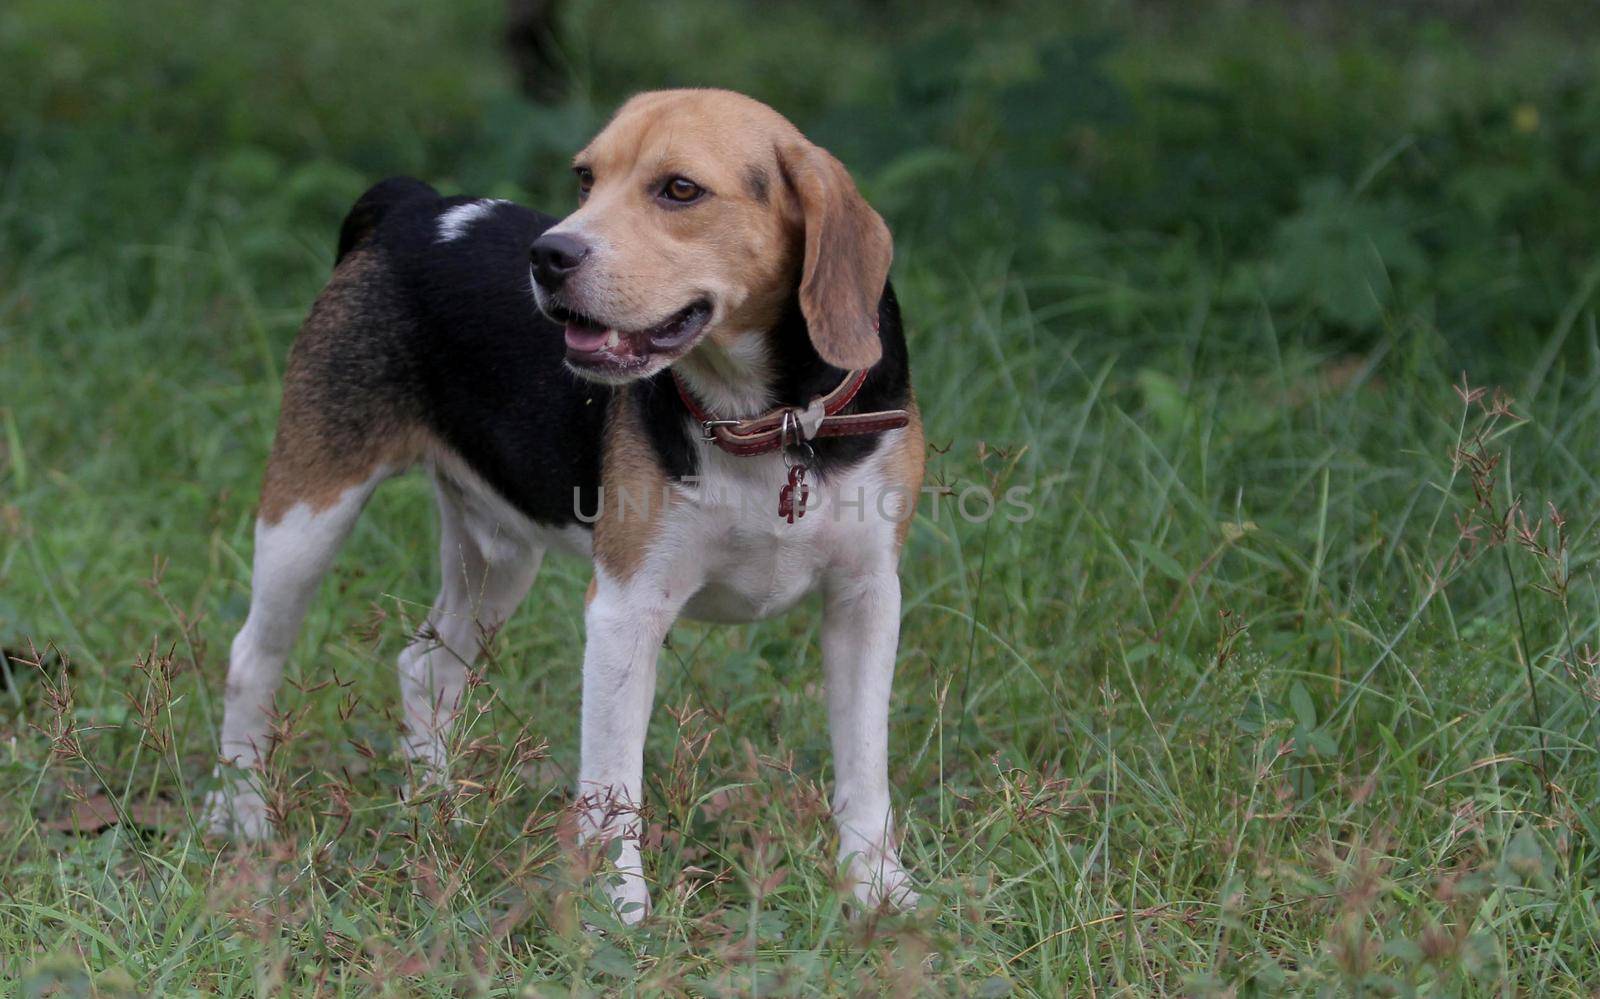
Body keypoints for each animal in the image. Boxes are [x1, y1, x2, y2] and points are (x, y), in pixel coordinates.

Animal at [209, 87, 928, 922]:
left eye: (679, 189)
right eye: (586, 178)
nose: (548, 255)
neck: (771, 421)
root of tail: (416, 206)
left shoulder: (866, 599)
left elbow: (865, 766)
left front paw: (877, 889)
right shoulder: (625, 609)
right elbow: (613, 787)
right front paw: (619, 916)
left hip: (496, 554)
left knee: (425, 666)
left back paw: (438, 814)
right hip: (308, 512)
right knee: (251, 659)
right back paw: (242, 817)